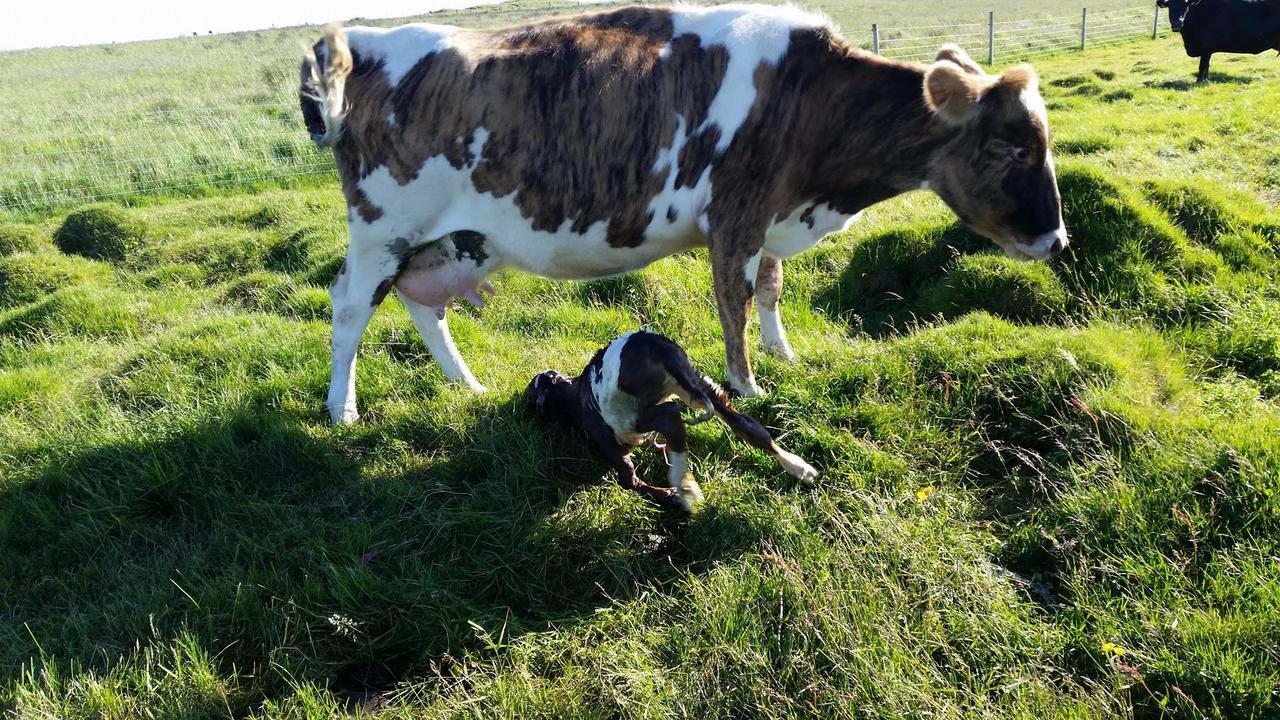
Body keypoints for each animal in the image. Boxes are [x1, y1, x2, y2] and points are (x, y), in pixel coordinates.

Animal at [302, 2, 1070, 422]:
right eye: (1011, 148)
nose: (1058, 239)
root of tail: (363, 40)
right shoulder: (737, 213)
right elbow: (735, 301)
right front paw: (748, 385)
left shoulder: (769, 220)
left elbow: (772, 290)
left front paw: (785, 354)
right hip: (383, 227)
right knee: (351, 306)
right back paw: (342, 410)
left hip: (448, 239)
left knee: (421, 304)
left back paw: (466, 383)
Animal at [522, 327, 814, 507]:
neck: (574, 395)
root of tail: (650, 344)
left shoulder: (608, 438)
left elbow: (630, 482)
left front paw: (670, 496)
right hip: (692, 380)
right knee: (746, 425)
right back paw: (800, 468)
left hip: (635, 411)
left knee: (671, 418)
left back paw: (683, 488)